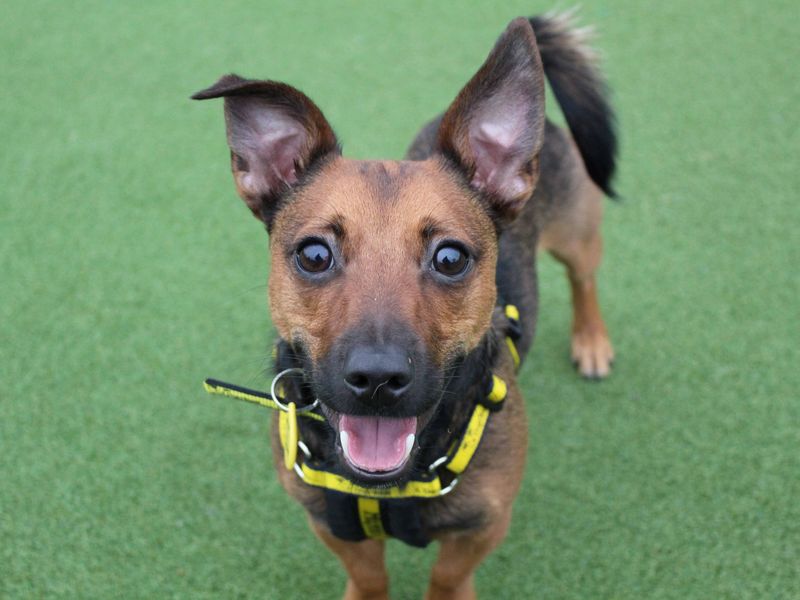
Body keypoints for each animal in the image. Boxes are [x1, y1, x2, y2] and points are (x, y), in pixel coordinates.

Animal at [195, 10, 620, 600]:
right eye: (314, 254)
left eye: (450, 257)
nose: (377, 379)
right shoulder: (329, 524)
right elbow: (369, 574)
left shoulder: (484, 526)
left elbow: (447, 575)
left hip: (576, 235)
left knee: (585, 281)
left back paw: (592, 341)